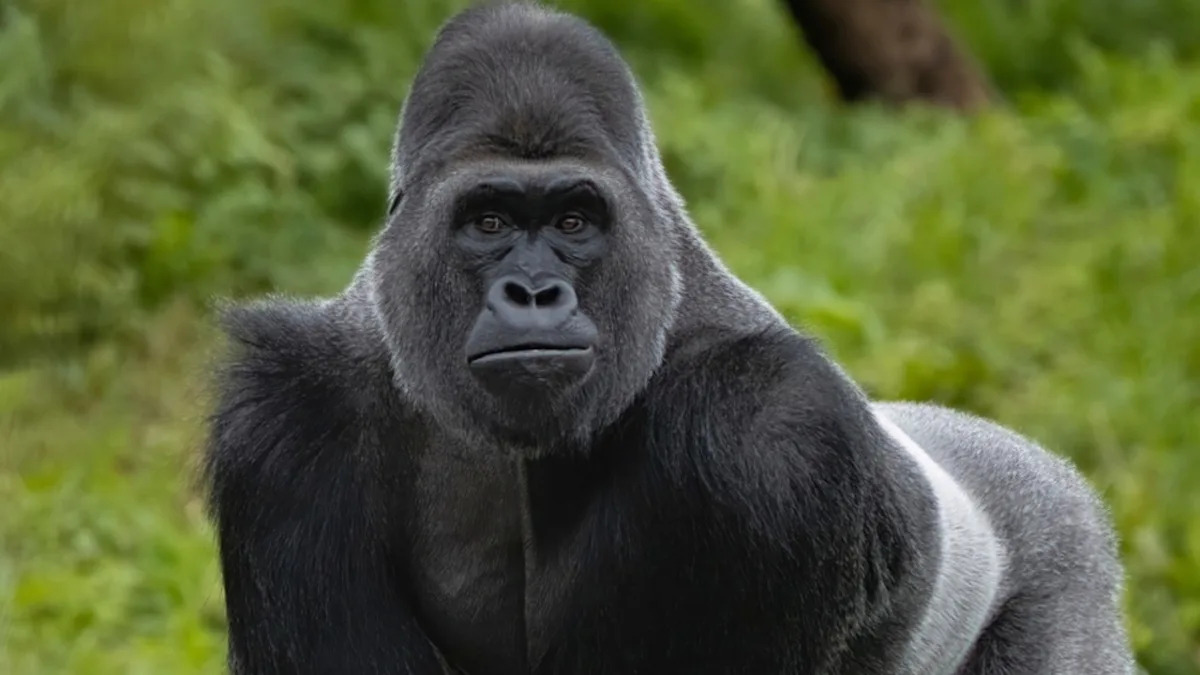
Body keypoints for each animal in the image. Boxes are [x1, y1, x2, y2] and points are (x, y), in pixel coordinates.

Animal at [203, 2, 1137, 673]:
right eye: (489, 220)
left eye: (575, 221)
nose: (534, 292)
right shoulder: (289, 421)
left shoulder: (771, 436)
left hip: (1065, 564)